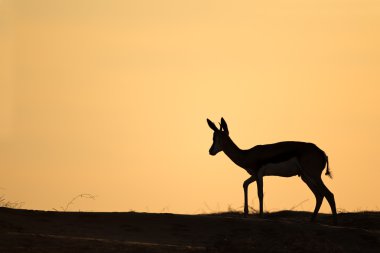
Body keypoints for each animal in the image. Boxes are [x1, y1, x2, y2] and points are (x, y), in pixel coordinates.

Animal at [208, 117, 338, 224]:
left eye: (216, 138)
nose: (210, 151)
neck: (247, 154)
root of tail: (322, 153)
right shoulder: (254, 175)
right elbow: (245, 184)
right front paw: (245, 213)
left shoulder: (259, 174)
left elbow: (260, 194)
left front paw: (260, 216)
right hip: (306, 177)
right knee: (319, 195)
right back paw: (311, 220)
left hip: (313, 176)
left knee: (329, 194)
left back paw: (334, 223)